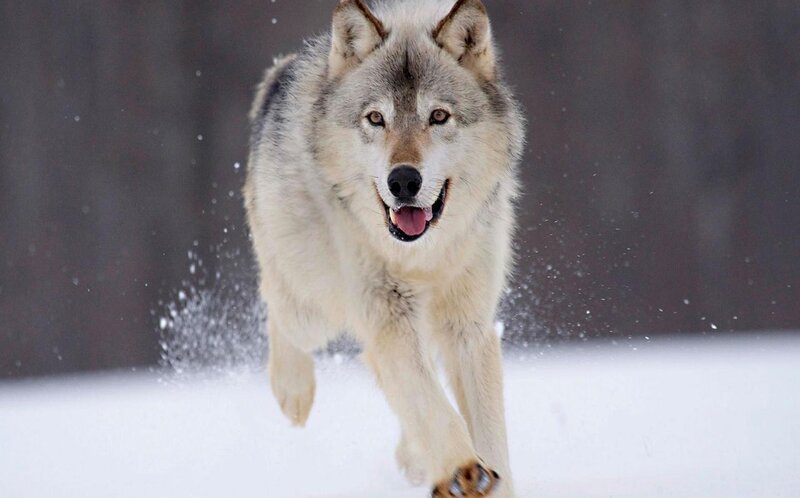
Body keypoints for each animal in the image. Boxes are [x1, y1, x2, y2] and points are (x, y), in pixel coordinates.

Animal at [244, 0, 524, 495]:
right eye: (376, 118)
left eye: (438, 116)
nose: (404, 181)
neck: (423, 256)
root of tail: (280, 72)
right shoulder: (387, 315)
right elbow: (431, 404)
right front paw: (461, 469)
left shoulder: (468, 327)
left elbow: (487, 434)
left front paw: (479, 475)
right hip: (312, 307)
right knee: (279, 309)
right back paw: (293, 392)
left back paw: (413, 458)